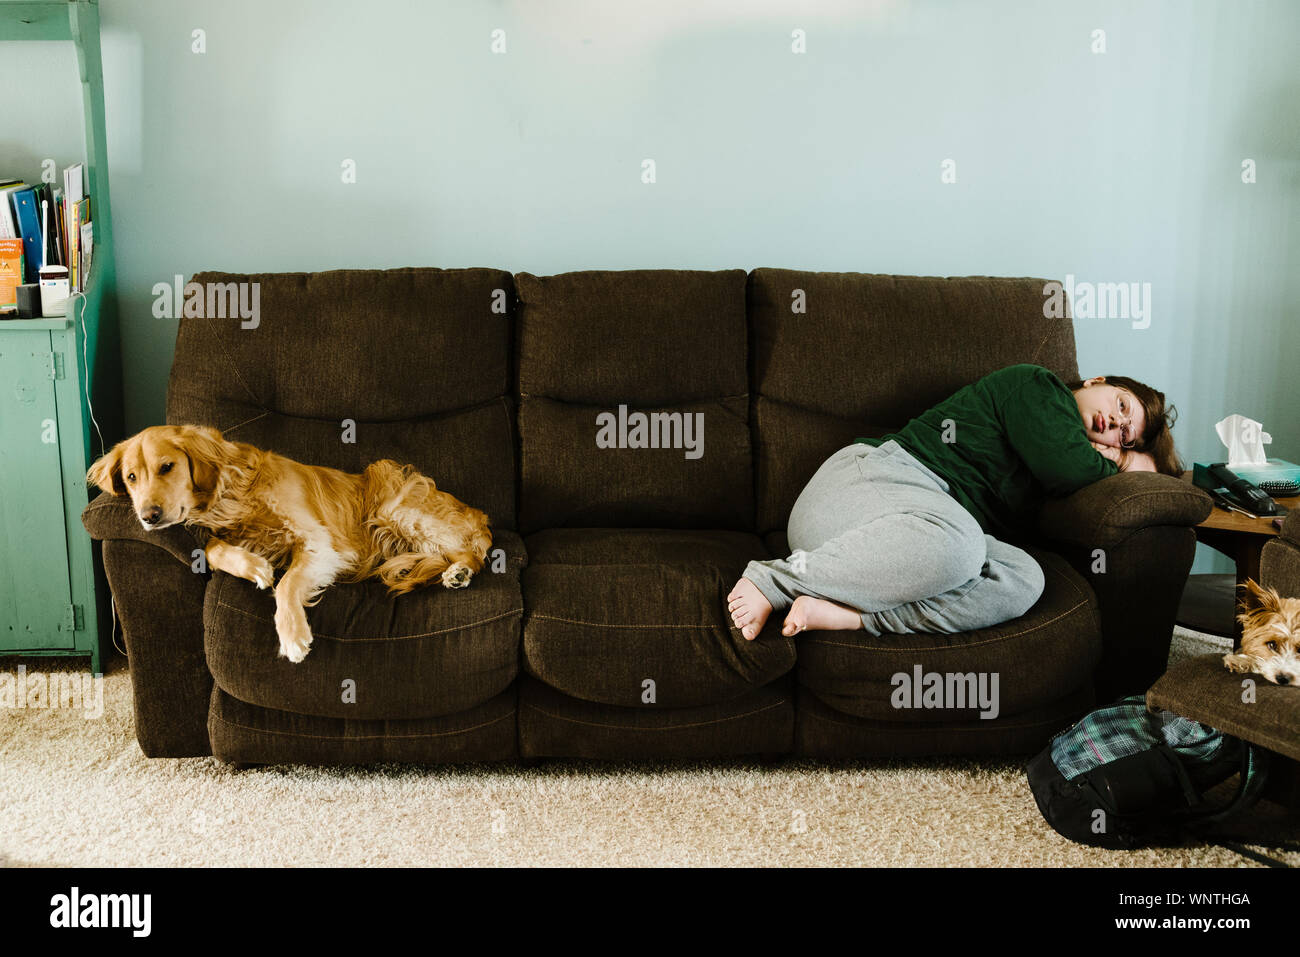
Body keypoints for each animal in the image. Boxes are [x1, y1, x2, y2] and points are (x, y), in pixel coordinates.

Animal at [87, 421, 491, 660]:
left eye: (167, 467)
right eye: (131, 477)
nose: (148, 517)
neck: (233, 493)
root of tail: (478, 515)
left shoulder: (318, 542)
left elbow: (285, 586)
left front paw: (293, 635)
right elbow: (214, 549)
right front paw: (254, 566)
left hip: (394, 507)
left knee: (471, 553)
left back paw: (458, 573)